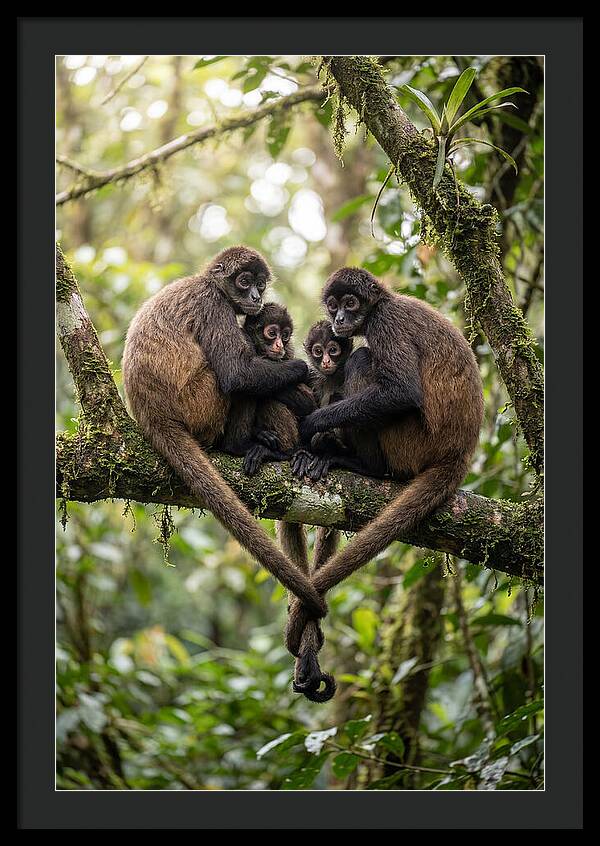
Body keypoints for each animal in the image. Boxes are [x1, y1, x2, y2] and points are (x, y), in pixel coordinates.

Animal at [121, 246, 327, 622]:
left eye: (260, 284)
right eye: (244, 281)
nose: (256, 296)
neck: (208, 283)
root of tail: (152, 414)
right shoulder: (213, 305)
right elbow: (236, 374)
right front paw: (301, 369)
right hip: (201, 404)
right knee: (237, 378)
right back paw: (240, 445)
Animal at [285, 267, 484, 659]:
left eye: (350, 303)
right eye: (333, 306)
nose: (340, 319)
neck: (383, 303)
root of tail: (460, 452)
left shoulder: (385, 322)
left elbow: (402, 391)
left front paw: (314, 426)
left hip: (411, 441)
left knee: (363, 359)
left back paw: (362, 465)